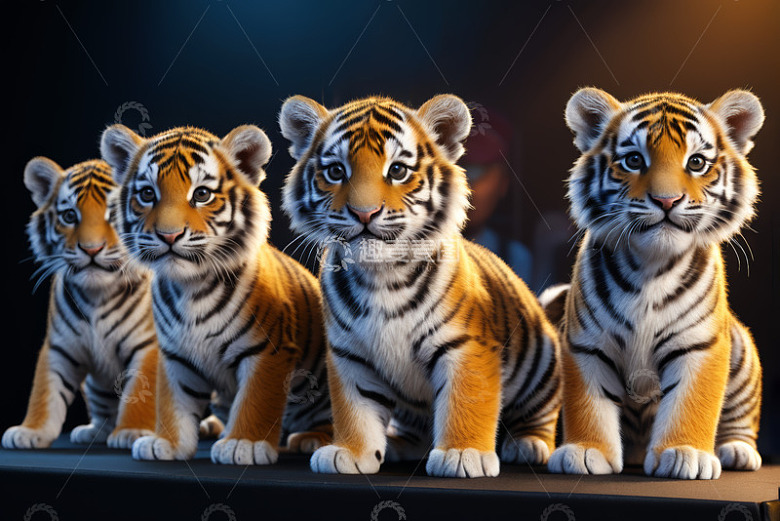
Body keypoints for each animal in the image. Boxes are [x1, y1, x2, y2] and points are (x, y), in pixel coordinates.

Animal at [2, 158, 159, 451]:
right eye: (69, 216)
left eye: (114, 213)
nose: (91, 249)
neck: (97, 295)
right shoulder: (59, 347)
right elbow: (44, 392)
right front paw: (29, 431)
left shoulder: (147, 345)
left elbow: (139, 394)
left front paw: (131, 431)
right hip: (95, 386)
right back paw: (92, 431)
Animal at [99, 123, 332, 464]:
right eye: (147, 194)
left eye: (202, 194)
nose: (168, 235)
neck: (191, 288)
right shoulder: (175, 355)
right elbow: (173, 403)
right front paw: (166, 443)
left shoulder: (268, 349)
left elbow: (255, 400)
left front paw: (243, 444)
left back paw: (311, 439)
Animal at [279, 93, 562, 478]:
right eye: (336, 171)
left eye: (397, 170)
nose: (364, 213)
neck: (380, 275)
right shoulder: (350, 354)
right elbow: (355, 410)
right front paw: (351, 452)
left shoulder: (465, 345)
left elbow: (464, 400)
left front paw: (463, 454)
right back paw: (400, 445)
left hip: (541, 362)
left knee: (541, 411)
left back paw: (530, 445)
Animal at [546, 87, 764, 480]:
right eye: (634, 160)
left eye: (696, 163)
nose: (667, 200)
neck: (651, 265)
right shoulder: (586, 344)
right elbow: (587, 403)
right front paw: (586, 451)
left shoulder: (700, 344)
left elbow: (692, 401)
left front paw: (685, 453)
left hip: (741, 349)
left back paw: (737, 451)